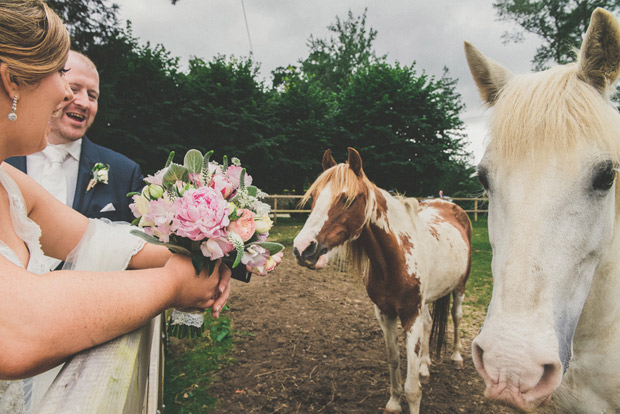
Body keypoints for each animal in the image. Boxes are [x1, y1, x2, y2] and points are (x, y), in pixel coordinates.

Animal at [290, 147, 470, 412]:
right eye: (313, 196)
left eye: (347, 199)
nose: (303, 249)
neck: (395, 257)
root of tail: (450, 206)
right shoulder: (385, 313)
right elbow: (393, 359)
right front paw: (394, 402)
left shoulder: (410, 316)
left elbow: (412, 389)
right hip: (426, 300)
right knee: (429, 324)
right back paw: (426, 367)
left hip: (459, 287)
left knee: (456, 317)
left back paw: (457, 357)